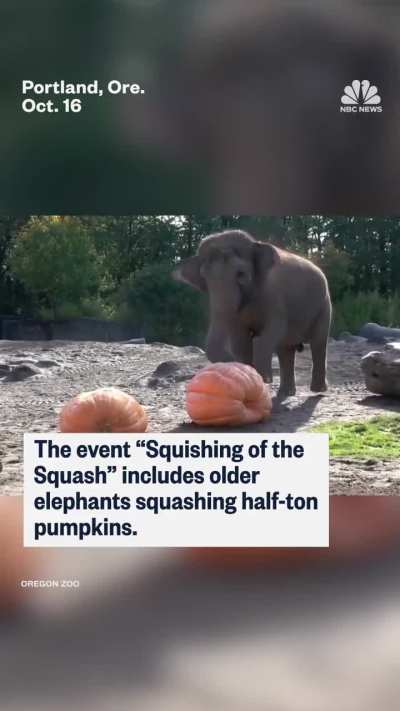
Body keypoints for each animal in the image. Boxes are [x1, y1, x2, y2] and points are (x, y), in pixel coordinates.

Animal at [173, 230, 332, 397]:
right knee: (286, 349)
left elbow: (271, 332)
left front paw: (264, 379)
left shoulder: (275, 298)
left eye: (241, 274)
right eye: (204, 276)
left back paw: (318, 390)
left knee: (318, 343)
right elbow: (240, 341)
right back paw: (286, 393)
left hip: (324, 305)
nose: (231, 361)